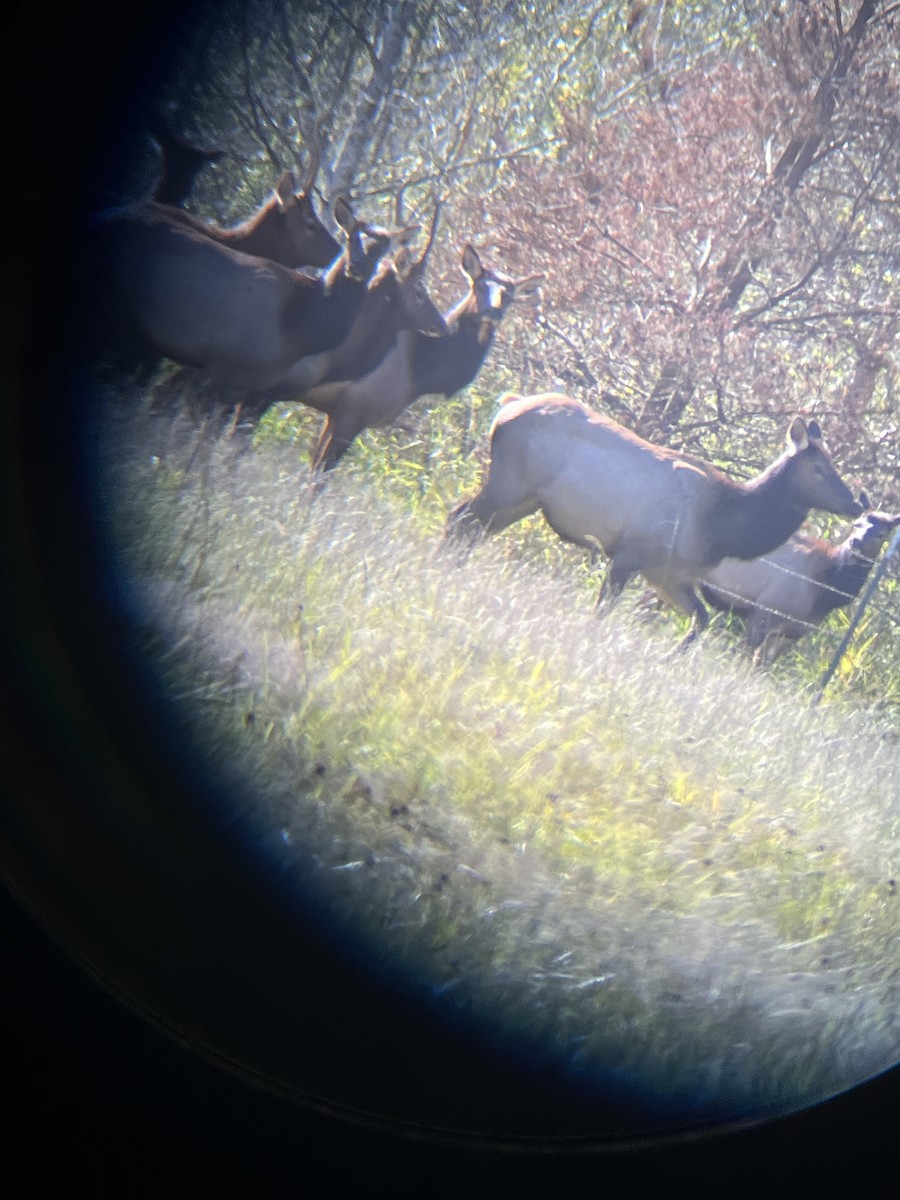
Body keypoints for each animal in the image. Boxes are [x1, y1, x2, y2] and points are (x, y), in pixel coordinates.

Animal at [296, 244, 544, 472]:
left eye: (509, 295)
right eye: (480, 285)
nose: (493, 311)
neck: (418, 374)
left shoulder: (335, 413)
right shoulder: (353, 411)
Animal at [445, 393, 862, 649]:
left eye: (834, 465)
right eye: (820, 469)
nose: (855, 505)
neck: (721, 527)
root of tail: (507, 406)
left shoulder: (666, 574)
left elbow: (700, 621)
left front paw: (669, 658)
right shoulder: (632, 553)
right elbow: (602, 611)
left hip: (525, 500)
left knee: (470, 528)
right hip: (509, 484)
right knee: (458, 518)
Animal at [700, 497, 900, 663]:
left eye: (882, 534)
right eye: (856, 524)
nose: (855, 542)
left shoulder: (792, 633)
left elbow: (763, 665)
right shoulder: (764, 611)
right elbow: (745, 657)